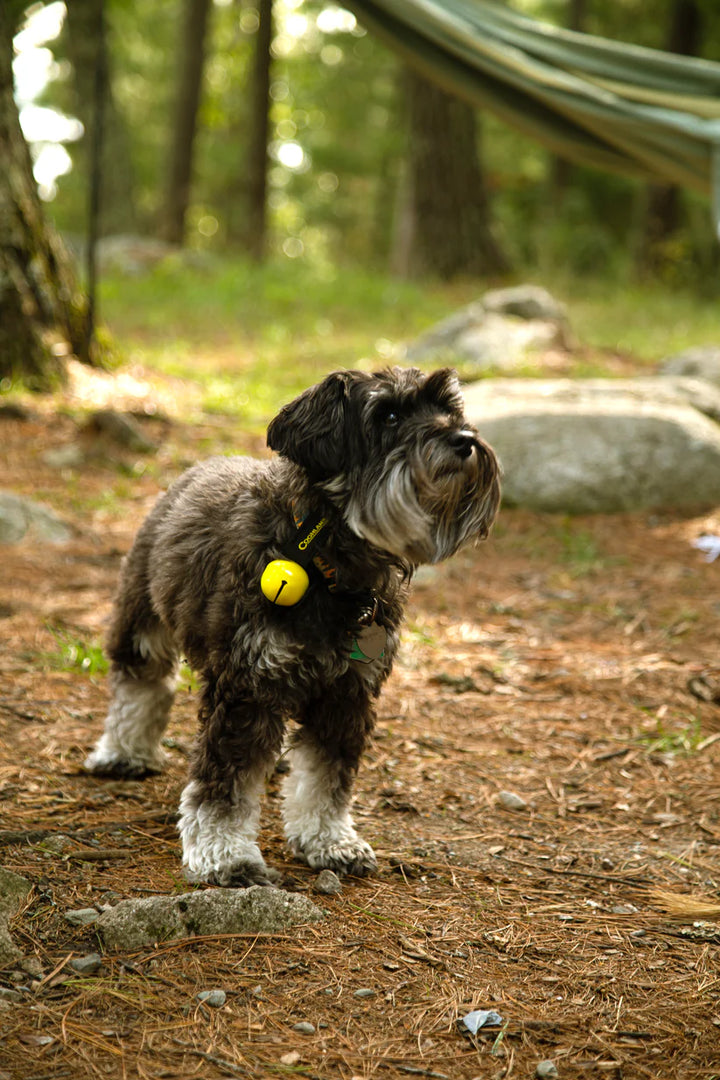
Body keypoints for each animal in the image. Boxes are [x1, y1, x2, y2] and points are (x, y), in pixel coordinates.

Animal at [84, 367, 498, 889]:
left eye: (450, 408)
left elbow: (326, 777)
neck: (327, 562)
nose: (464, 441)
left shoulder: (348, 694)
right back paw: (123, 751)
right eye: (388, 415)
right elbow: (227, 779)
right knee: (140, 683)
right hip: (142, 620)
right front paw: (225, 854)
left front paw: (330, 840)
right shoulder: (247, 687)